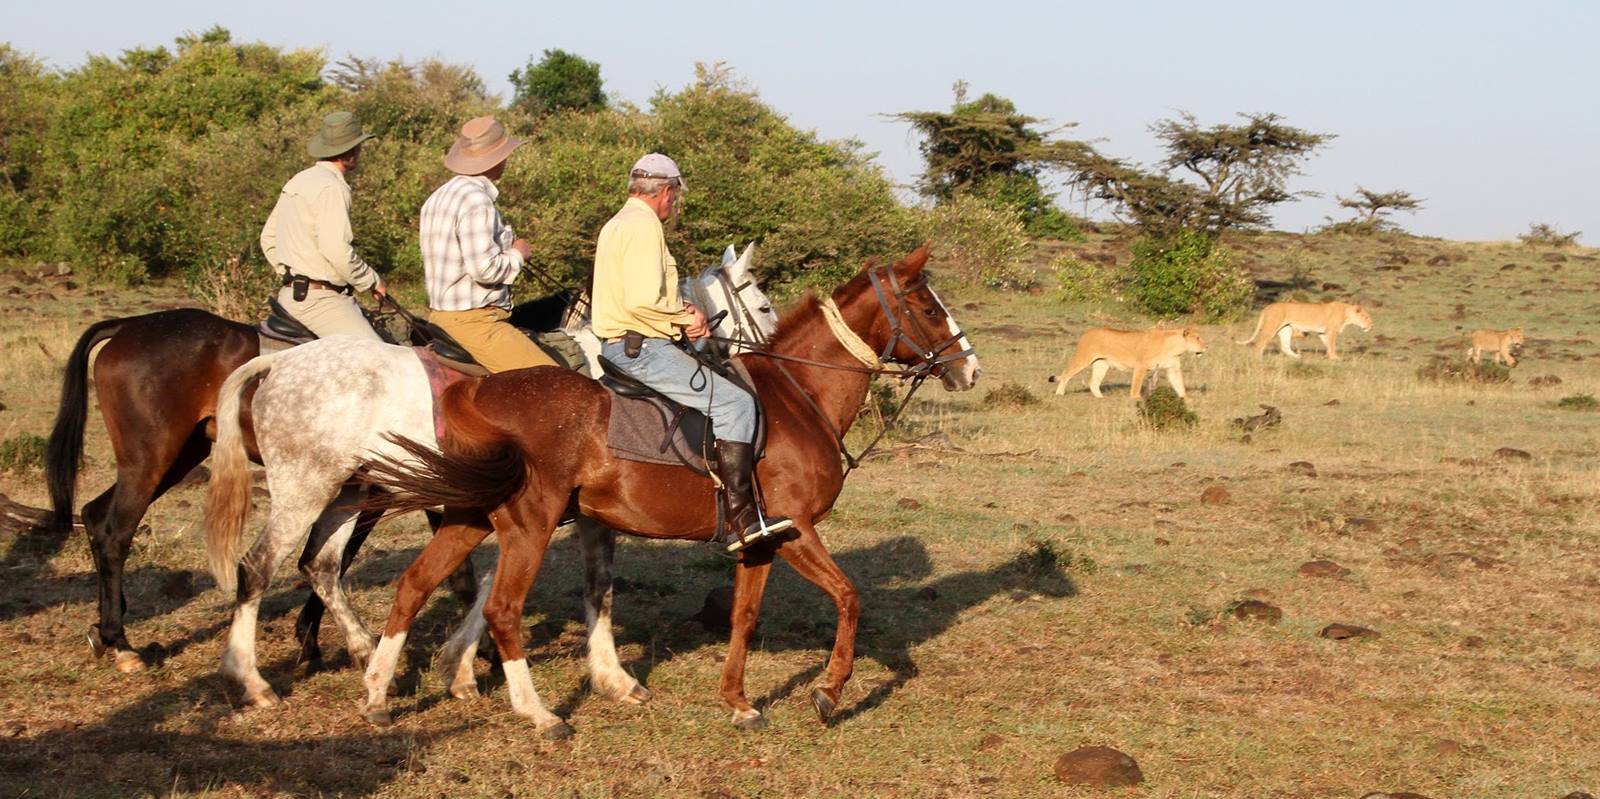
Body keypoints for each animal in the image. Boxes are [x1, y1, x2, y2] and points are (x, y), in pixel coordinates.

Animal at [201, 252, 780, 708]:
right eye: (764, 305)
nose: (769, 356)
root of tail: (279, 365)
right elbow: (495, 587)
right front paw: (466, 664)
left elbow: (482, 584)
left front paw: (459, 666)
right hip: (306, 492)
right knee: (257, 569)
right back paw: (252, 681)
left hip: (351, 492)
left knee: (320, 566)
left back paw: (365, 651)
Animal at [350, 245, 979, 736]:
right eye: (928, 308)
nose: (970, 370)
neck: (800, 395)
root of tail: (477, 392)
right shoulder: (795, 530)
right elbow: (849, 597)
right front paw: (829, 691)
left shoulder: (759, 541)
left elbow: (744, 616)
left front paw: (738, 702)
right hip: (530, 524)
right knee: (500, 608)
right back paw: (540, 715)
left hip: (471, 517)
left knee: (413, 585)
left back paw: (378, 694)